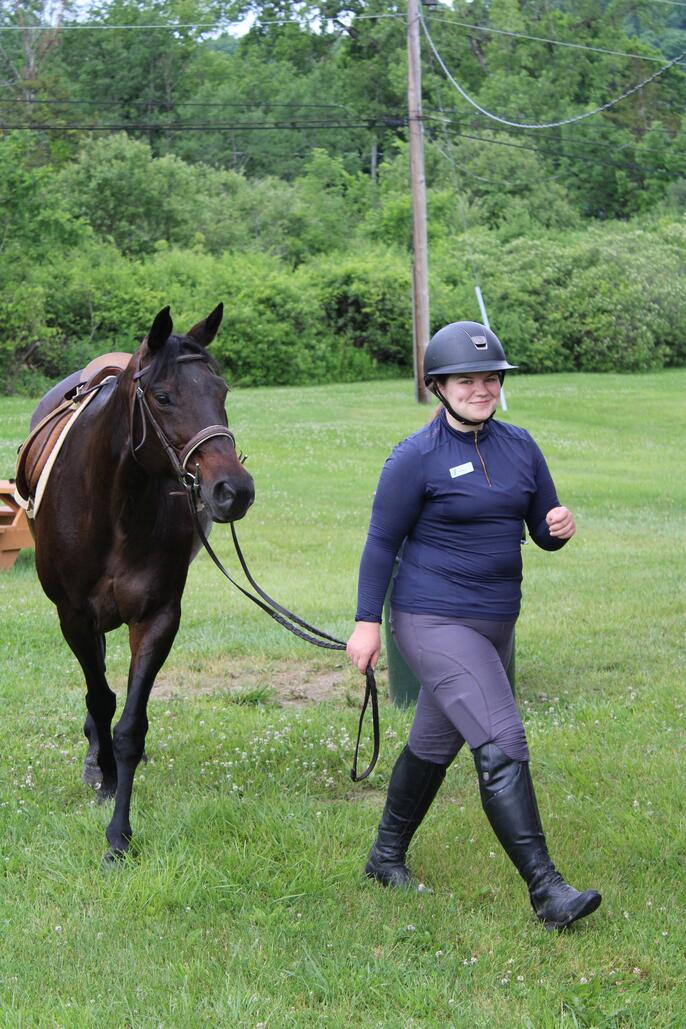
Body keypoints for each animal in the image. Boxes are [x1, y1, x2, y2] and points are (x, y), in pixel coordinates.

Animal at [26, 303, 254, 862]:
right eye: (164, 397)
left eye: (221, 391)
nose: (233, 490)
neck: (114, 505)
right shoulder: (74, 616)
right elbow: (101, 698)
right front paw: (106, 778)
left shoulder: (157, 617)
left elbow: (130, 724)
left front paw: (119, 834)